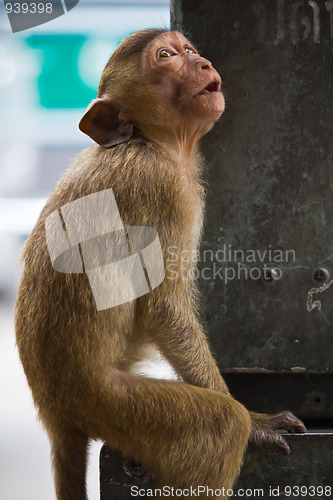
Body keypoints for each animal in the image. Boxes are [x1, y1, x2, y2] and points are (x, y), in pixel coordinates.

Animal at [15, 28, 306, 500]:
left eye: (188, 50)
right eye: (167, 56)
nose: (204, 63)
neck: (144, 141)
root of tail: (53, 411)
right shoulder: (164, 189)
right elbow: (164, 306)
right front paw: (258, 424)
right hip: (111, 404)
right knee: (220, 425)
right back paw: (235, 422)